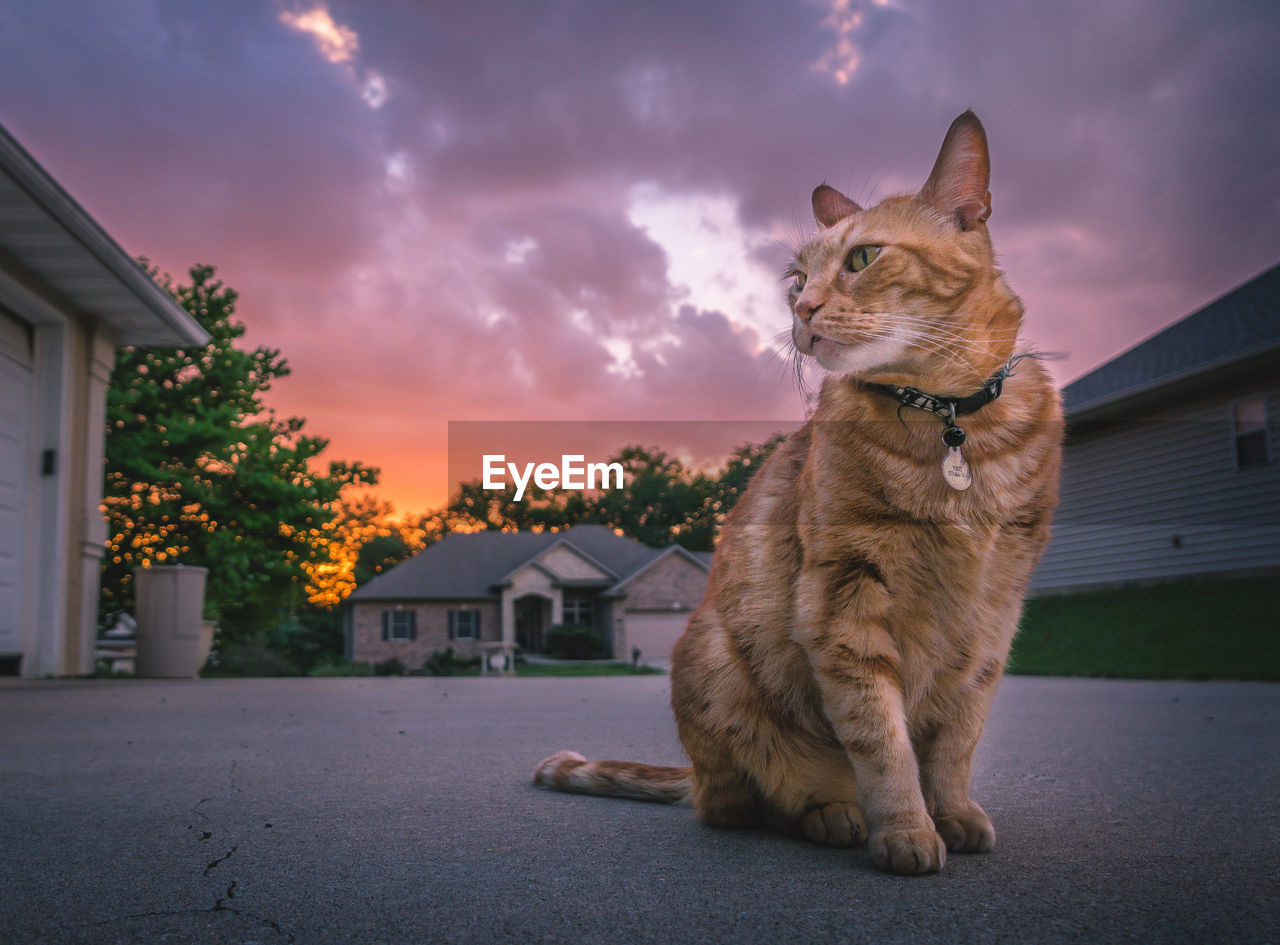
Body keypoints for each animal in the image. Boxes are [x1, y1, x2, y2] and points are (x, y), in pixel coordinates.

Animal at [529, 112, 1059, 875]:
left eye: (863, 258)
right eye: (797, 280)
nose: (802, 310)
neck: (950, 420)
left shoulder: (993, 614)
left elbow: (957, 737)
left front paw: (953, 812)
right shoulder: (841, 597)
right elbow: (882, 739)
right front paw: (906, 828)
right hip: (716, 659)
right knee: (745, 803)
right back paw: (832, 814)